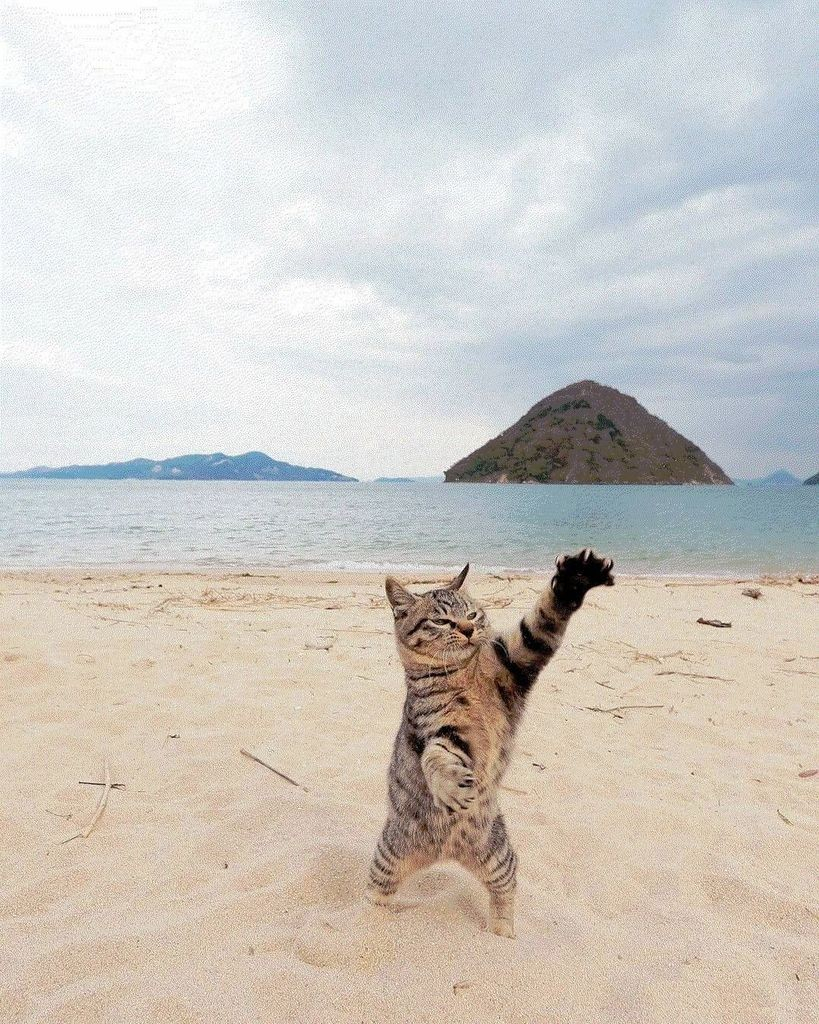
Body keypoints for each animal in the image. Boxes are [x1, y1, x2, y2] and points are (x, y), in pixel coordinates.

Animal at [366, 548, 614, 937]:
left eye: (471, 614)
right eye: (441, 621)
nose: (468, 630)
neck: (464, 673)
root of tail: (445, 853)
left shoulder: (516, 660)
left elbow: (542, 620)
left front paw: (575, 580)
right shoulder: (439, 729)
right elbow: (436, 758)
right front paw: (452, 787)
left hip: (497, 856)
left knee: (505, 891)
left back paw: (501, 935)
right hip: (386, 861)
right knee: (375, 896)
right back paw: (367, 926)